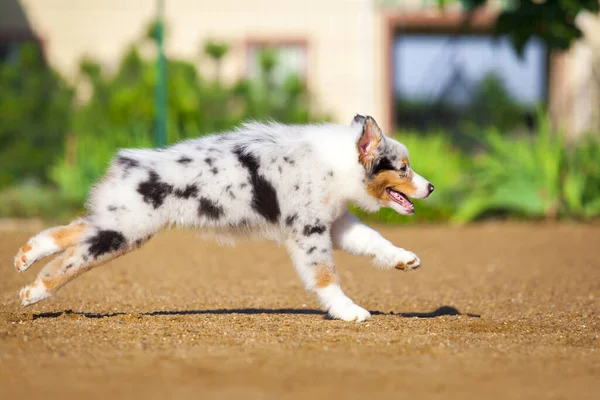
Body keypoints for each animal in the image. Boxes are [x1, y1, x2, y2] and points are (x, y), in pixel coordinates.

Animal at [12, 115, 432, 322]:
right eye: (403, 169)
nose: (430, 188)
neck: (337, 162)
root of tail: (129, 162)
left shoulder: (335, 221)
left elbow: (373, 240)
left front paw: (405, 259)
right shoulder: (308, 231)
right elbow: (326, 276)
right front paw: (349, 312)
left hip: (118, 223)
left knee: (71, 232)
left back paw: (25, 256)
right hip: (125, 230)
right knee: (69, 261)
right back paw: (34, 293)